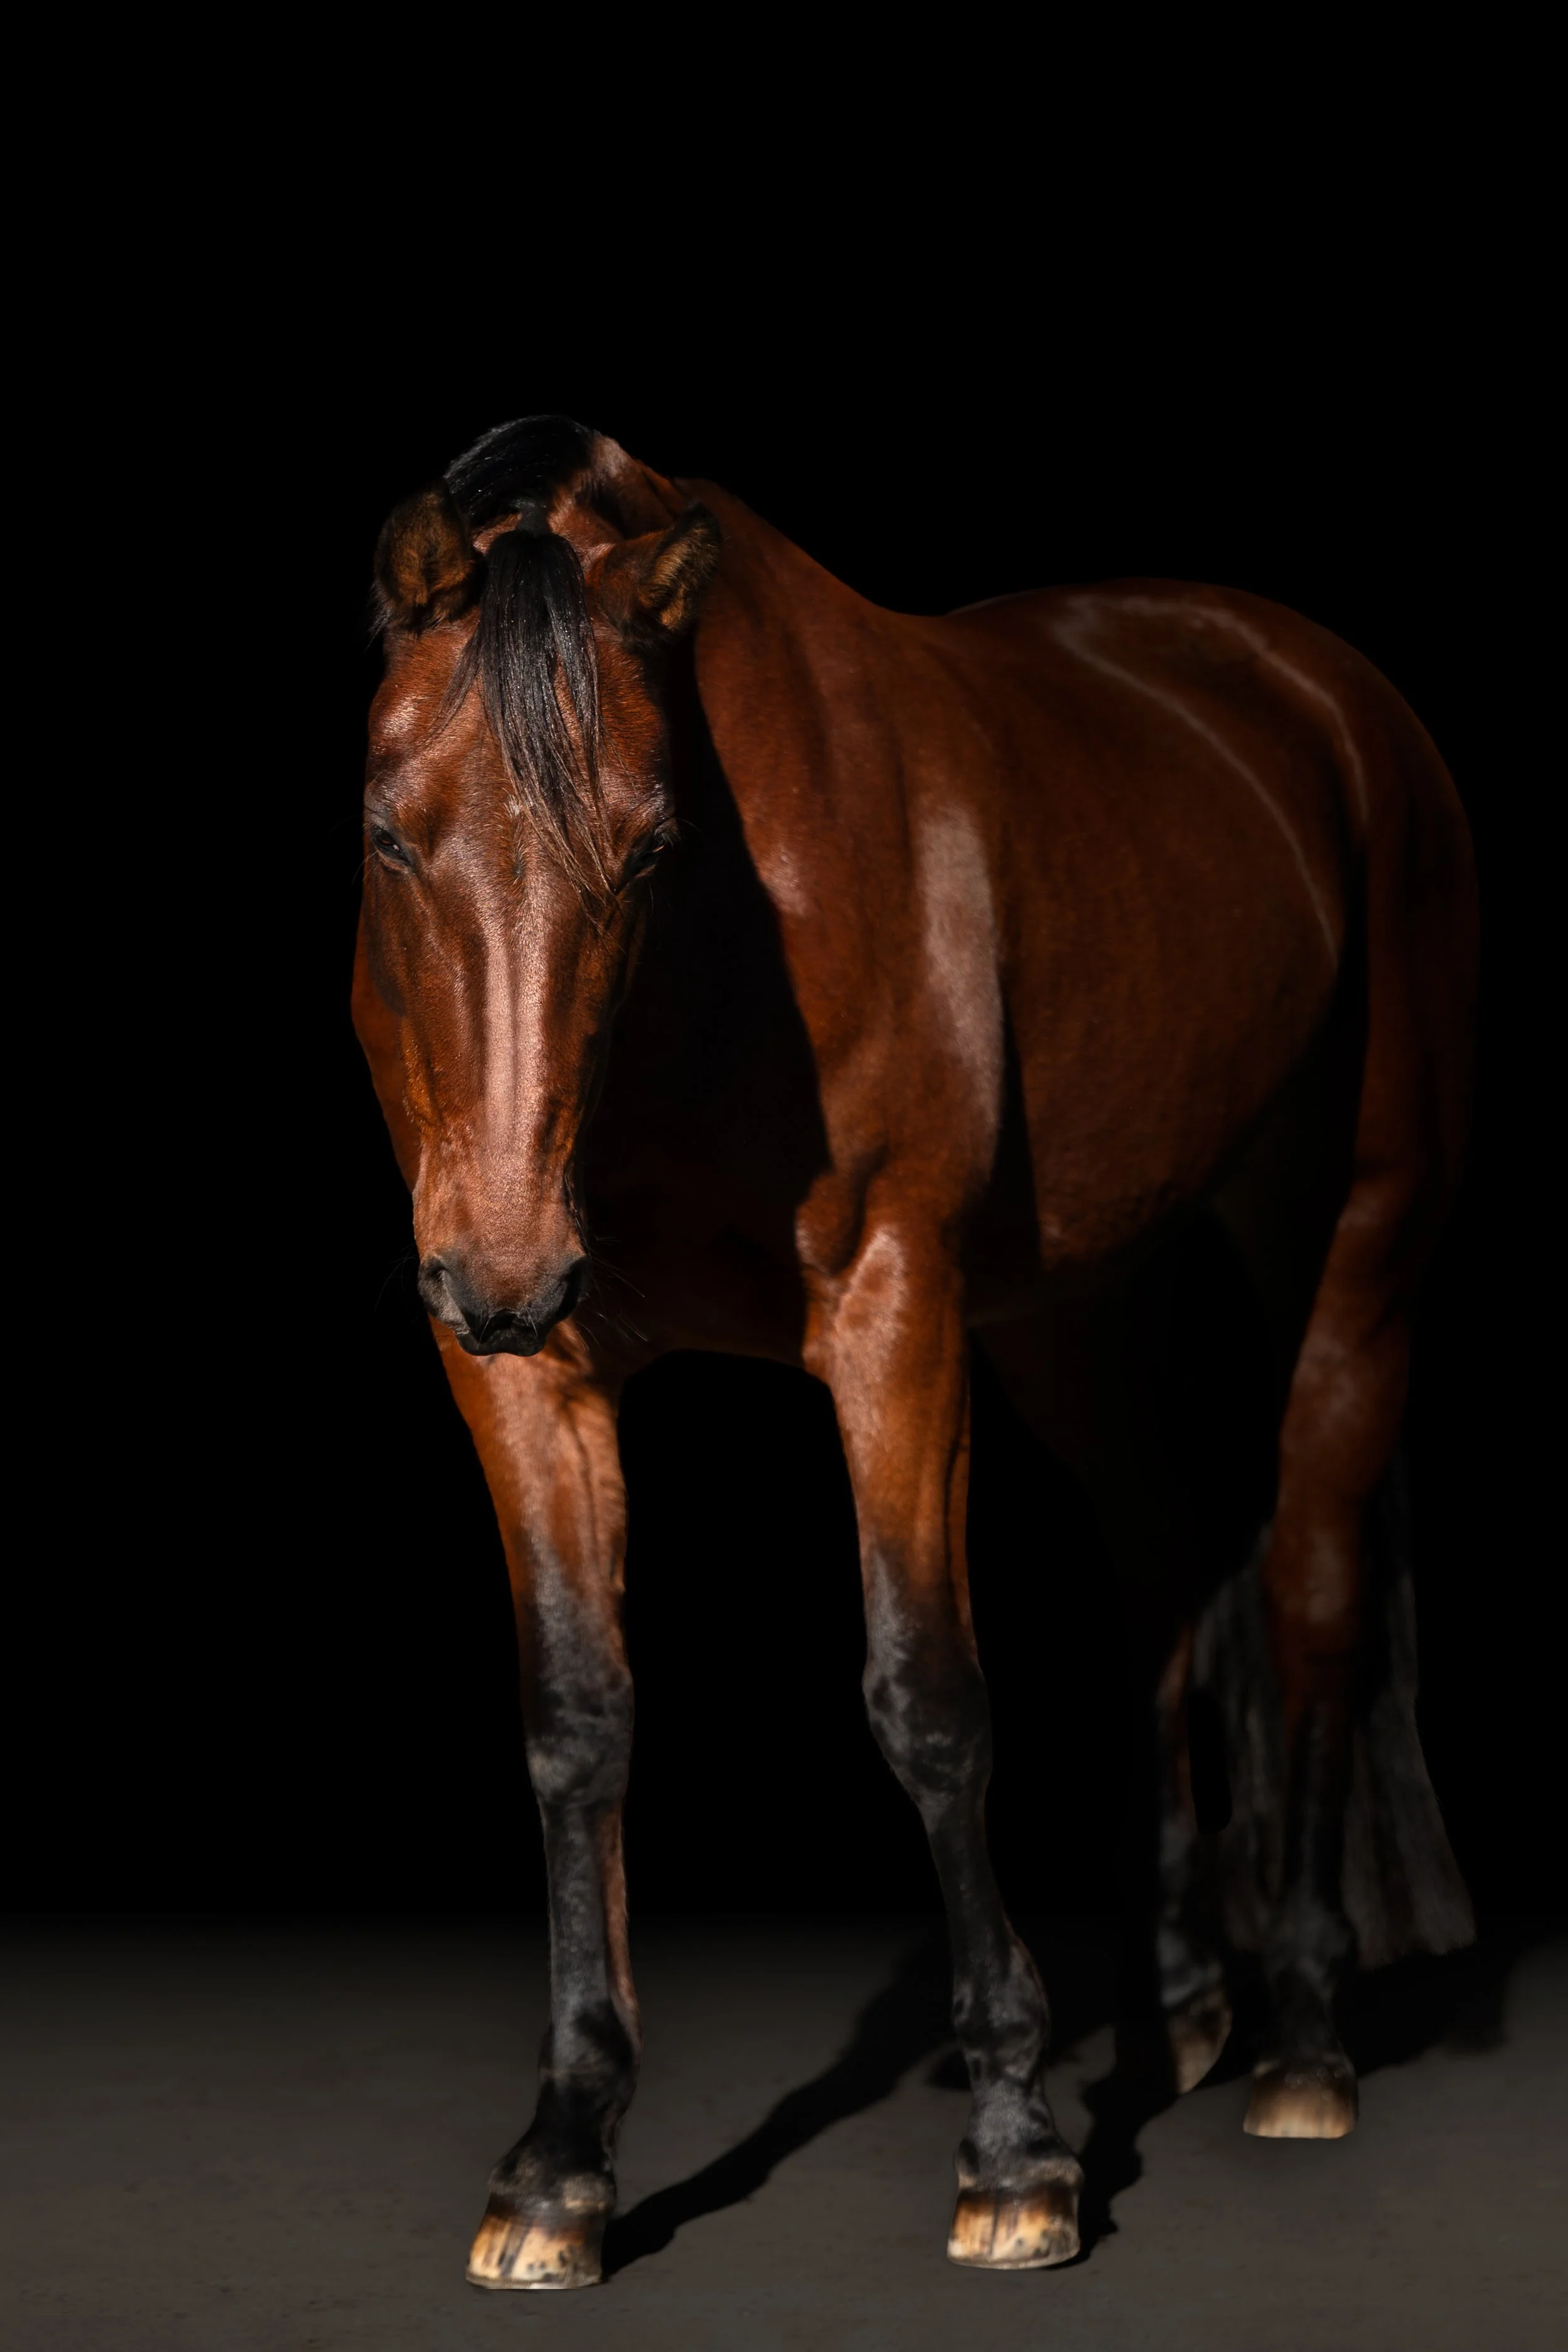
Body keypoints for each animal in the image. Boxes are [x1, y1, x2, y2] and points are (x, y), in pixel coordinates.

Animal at [353, 414, 1476, 2290]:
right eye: (385, 834)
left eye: (650, 848)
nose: (503, 1265)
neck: (707, 983)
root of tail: (1323, 688)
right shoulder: (526, 1371)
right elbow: (578, 1716)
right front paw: (561, 2155)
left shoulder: (894, 1321)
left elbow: (930, 1699)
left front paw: (1015, 2142)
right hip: (1068, 1314)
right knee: (1167, 1570)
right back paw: (1184, 1999)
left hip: (1352, 1242)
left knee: (1310, 1594)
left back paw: (1304, 2037)